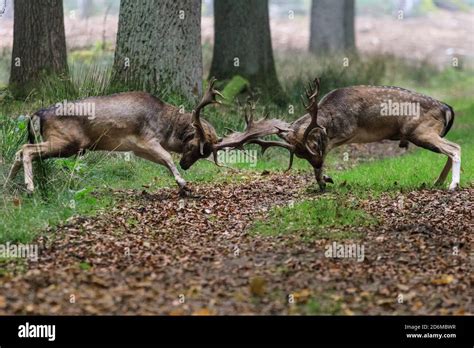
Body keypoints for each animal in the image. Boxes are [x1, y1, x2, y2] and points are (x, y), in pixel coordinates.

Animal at [3, 78, 226, 196]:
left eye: (204, 153)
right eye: (194, 146)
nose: (185, 165)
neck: (166, 128)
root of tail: (37, 114)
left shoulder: (138, 148)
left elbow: (163, 160)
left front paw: (181, 182)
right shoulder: (146, 138)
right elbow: (167, 157)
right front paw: (183, 183)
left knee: (19, 151)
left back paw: (7, 186)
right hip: (66, 141)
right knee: (26, 149)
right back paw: (29, 187)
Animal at [217, 78, 462, 192]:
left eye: (313, 146)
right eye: (300, 155)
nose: (317, 163)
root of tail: (447, 108)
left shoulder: (347, 132)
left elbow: (329, 151)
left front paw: (324, 179)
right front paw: (323, 181)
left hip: (420, 131)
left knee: (455, 148)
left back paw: (452, 185)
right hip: (422, 133)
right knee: (450, 150)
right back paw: (437, 182)